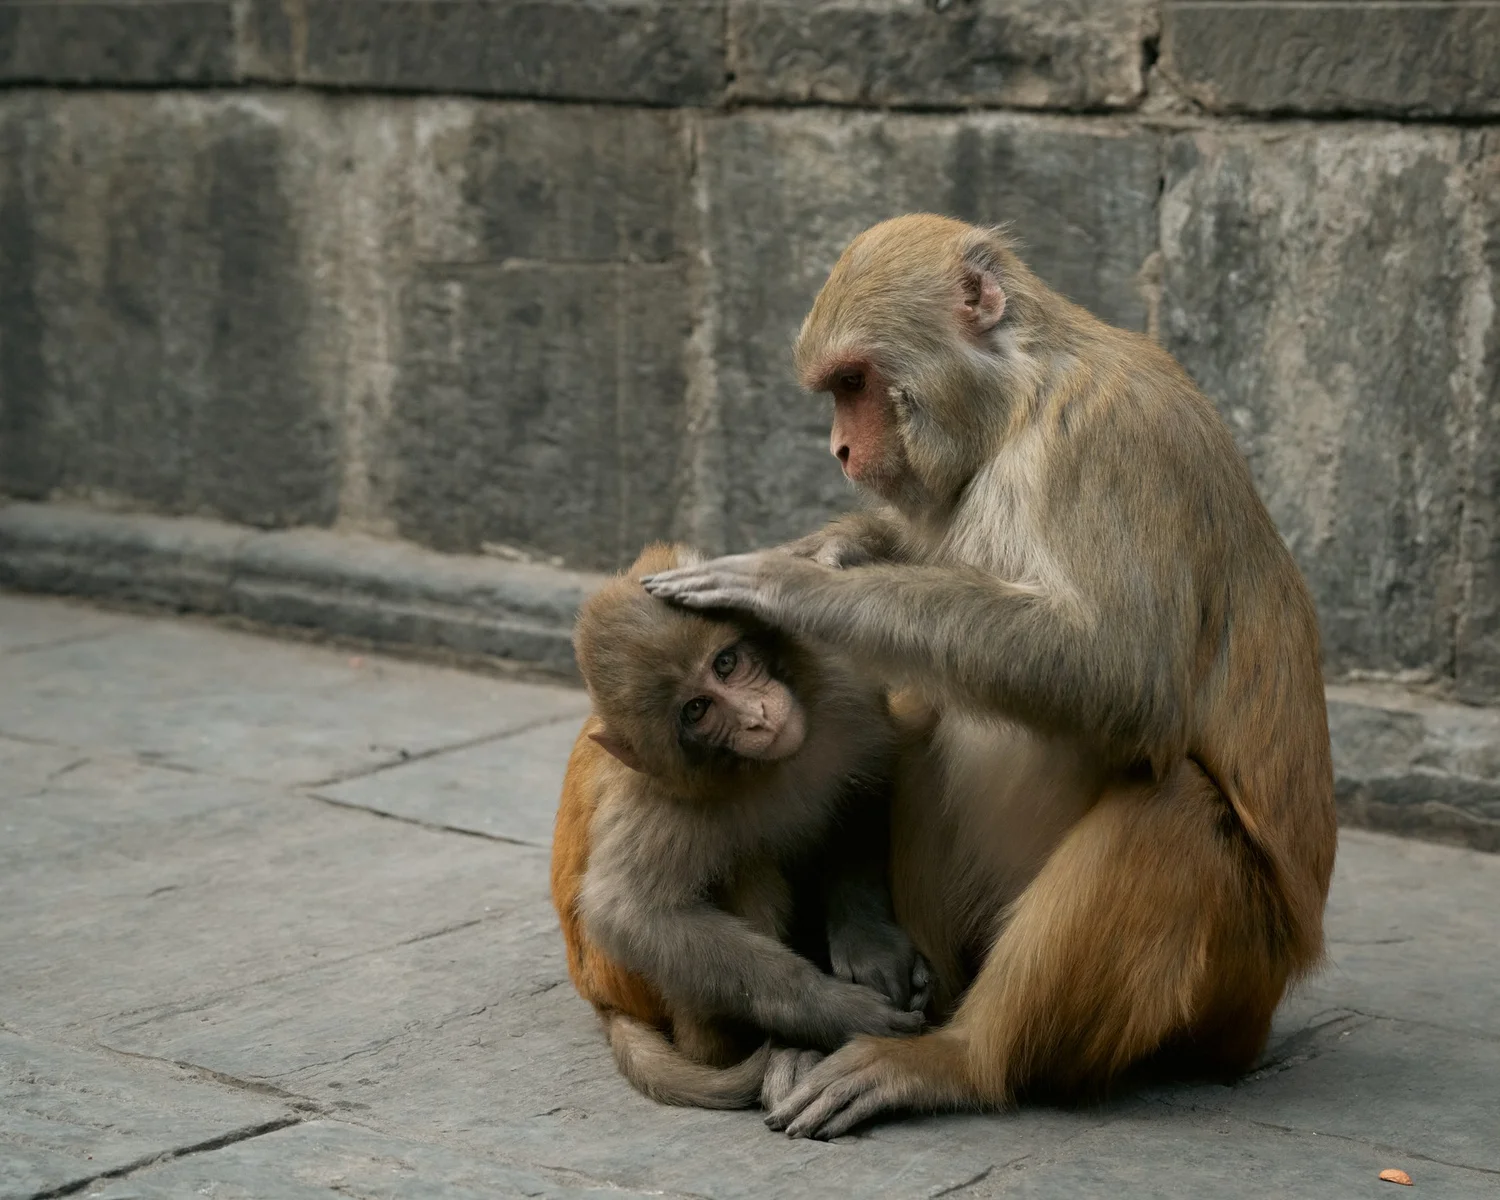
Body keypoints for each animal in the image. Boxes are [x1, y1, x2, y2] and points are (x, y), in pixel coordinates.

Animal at [550, 542, 928, 1111]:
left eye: (725, 664)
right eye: (697, 709)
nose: (757, 716)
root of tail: (598, 998)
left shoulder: (844, 689)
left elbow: (865, 792)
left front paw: (869, 944)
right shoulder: (661, 803)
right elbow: (633, 915)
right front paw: (834, 1011)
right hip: (631, 983)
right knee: (744, 867)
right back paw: (772, 1047)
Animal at [641, 214, 1338, 1138]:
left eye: (855, 381)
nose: (840, 449)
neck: (1021, 404)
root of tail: (1261, 1018)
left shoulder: (1105, 442)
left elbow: (1122, 675)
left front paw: (798, 587)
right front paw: (834, 549)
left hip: (1231, 980)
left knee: (1174, 810)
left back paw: (958, 1059)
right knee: (920, 708)